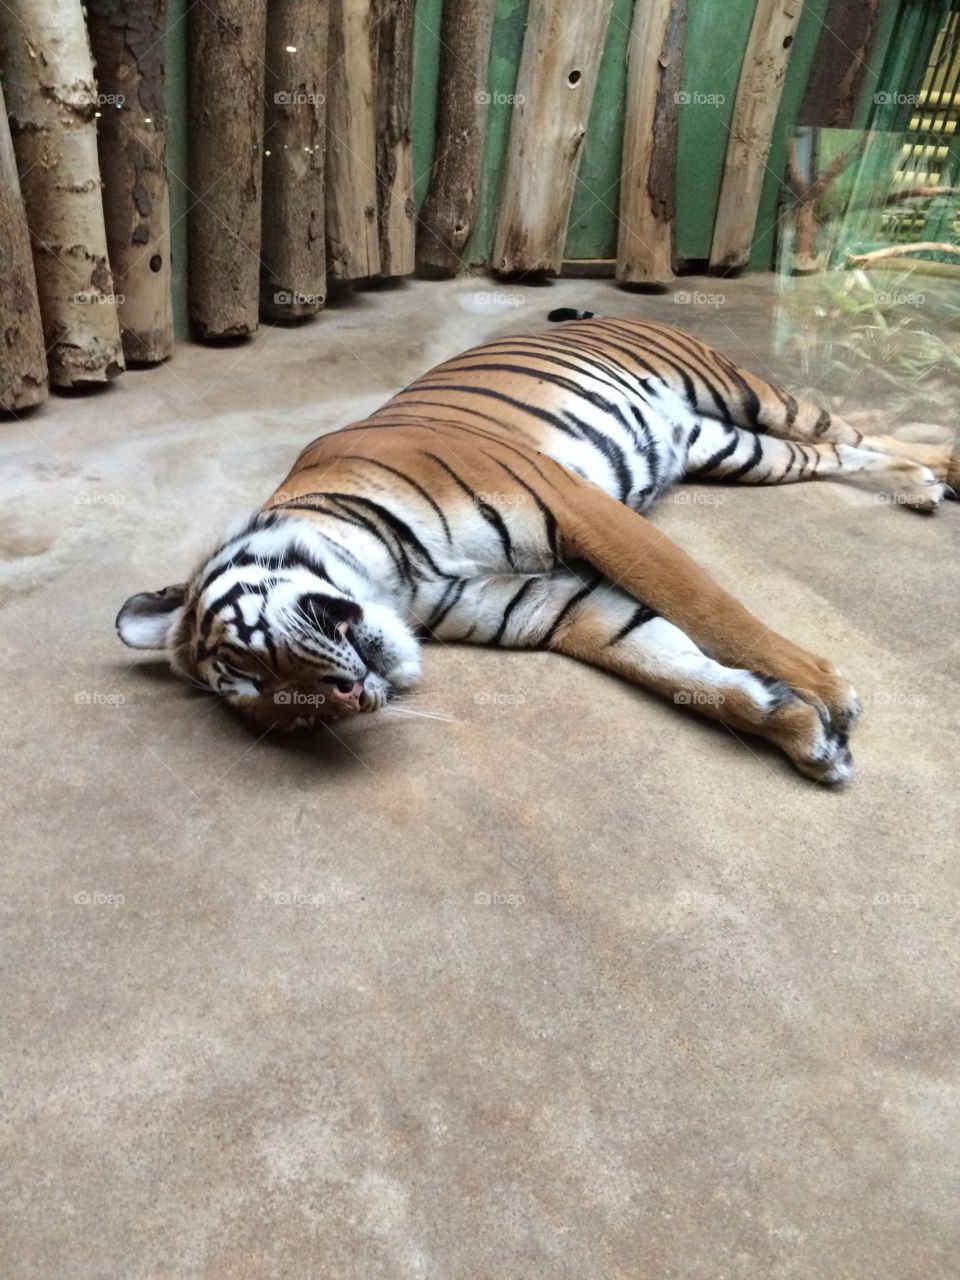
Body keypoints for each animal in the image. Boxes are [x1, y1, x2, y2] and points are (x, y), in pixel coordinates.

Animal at [117, 309, 956, 784]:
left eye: (248, 656)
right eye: (275, 712)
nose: (343, 700)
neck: (398, 582)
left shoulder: (580, 508)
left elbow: (707, 606)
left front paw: (826, 689)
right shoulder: (558, 606)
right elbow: (673, 663)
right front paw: (802, 733)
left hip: (747, 396)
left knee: (844, 426)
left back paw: (942, 466)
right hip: (737, 451)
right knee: (836, 455)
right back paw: (918, 485)